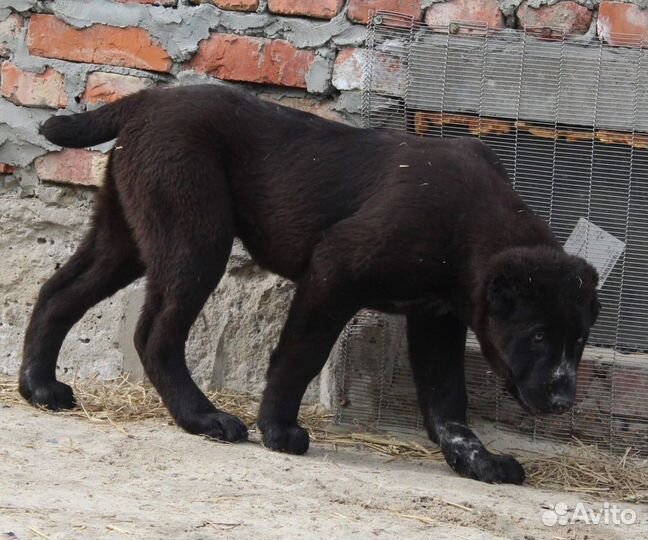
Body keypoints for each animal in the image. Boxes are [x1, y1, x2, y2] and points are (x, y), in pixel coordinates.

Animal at [19, 85, 596, 486]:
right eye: (539, 336)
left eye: (580, 341)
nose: (563, 399)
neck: (471, 229)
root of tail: (145, 100)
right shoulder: (334, 271)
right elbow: (301, 354)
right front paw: (279, 431)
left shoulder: (436, 319)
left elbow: (446, 398)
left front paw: (477, 461)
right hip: (194, 234)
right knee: (154, 333)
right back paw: (203, 418)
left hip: (126, 233)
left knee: (58, 293)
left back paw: (40, 388)